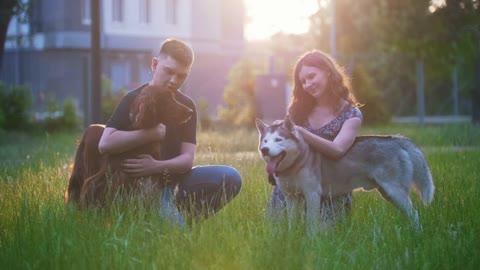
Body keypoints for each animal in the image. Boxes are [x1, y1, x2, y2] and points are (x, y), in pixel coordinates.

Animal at [255, 116, 436, 234]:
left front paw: (310, 242)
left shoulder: (312, 194)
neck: (295, 164)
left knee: (414, 214)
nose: (264, 150)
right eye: (265, 141)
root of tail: (396, 139)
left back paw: (417, 235)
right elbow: (292, 223)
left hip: (394, 191)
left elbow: (311, 224)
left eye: (278, 140)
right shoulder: (291, 197)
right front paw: (291, 239)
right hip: (389, 194)